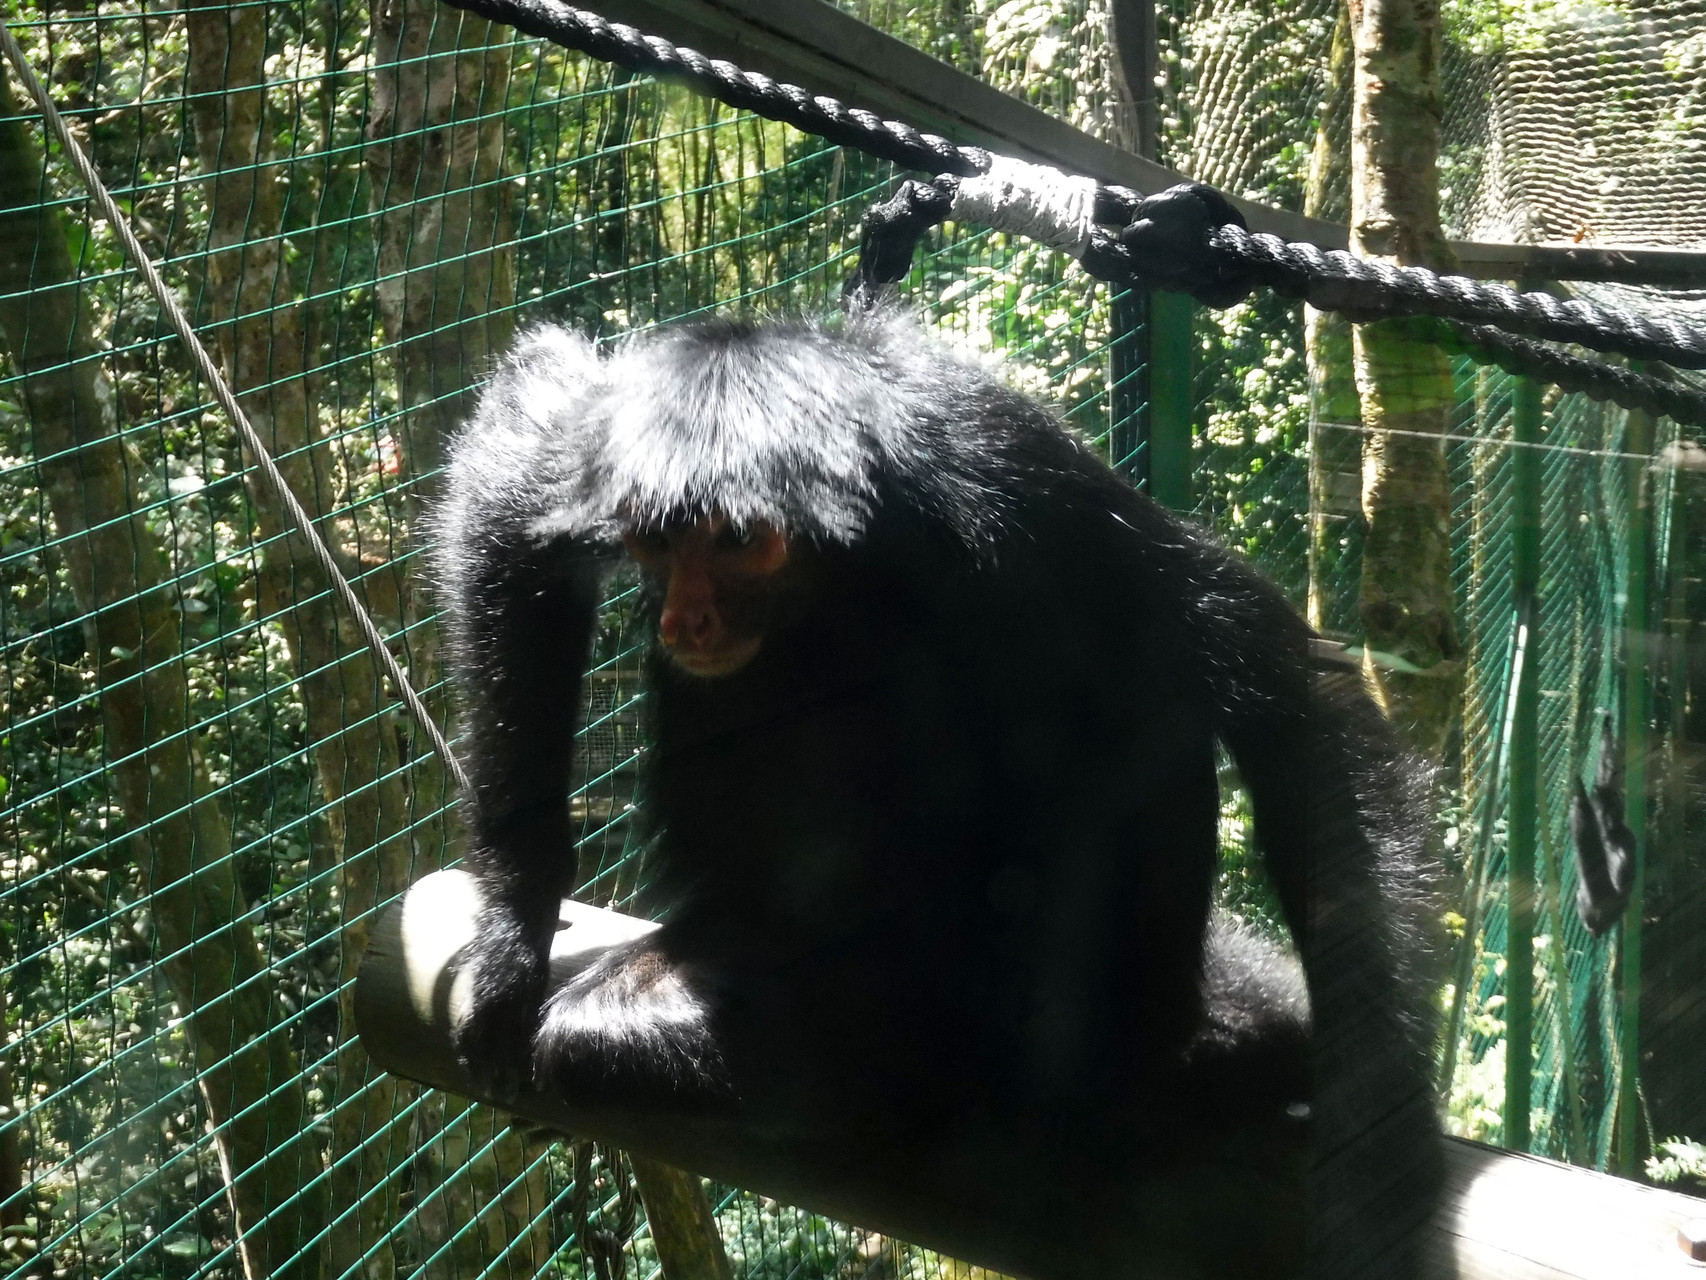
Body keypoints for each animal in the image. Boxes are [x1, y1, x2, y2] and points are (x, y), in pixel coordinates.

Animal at [433, 314, 1446, 1280]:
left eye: (739, 543)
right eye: (656, 540)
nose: (688, 616)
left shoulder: (1008, 474)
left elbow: (1270, 677)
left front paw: (1379, 1167)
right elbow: (512, 492)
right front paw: (513, 939)